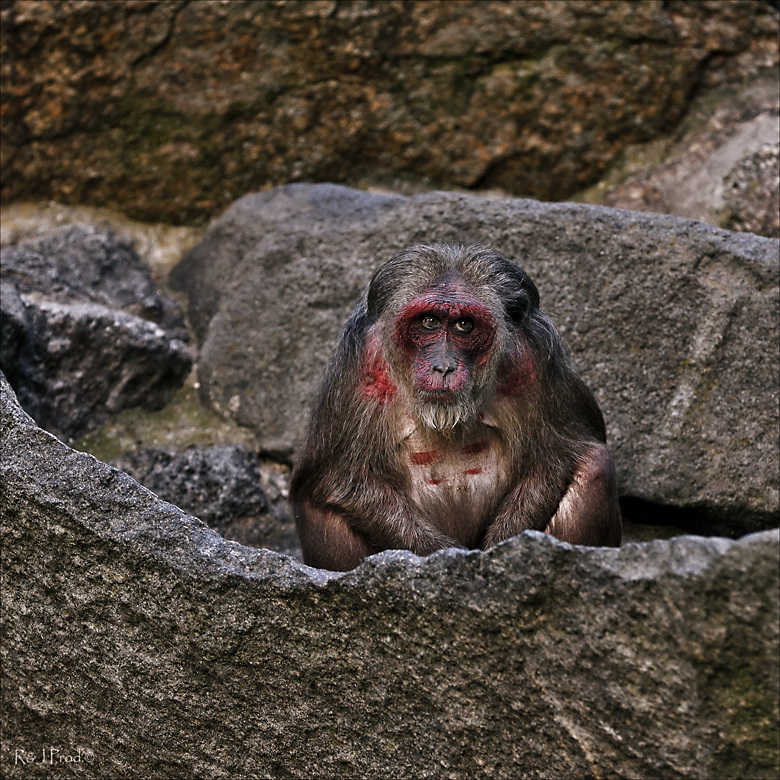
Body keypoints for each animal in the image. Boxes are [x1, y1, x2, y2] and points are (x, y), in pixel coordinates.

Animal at [290, 244, 624, 572]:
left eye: (464, 325)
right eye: (429, 322)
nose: (443, 367)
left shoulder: (536, 357)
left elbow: (554, 460)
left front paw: (501, 552)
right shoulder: (361, 363)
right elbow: (348, 479)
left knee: (594, 465)